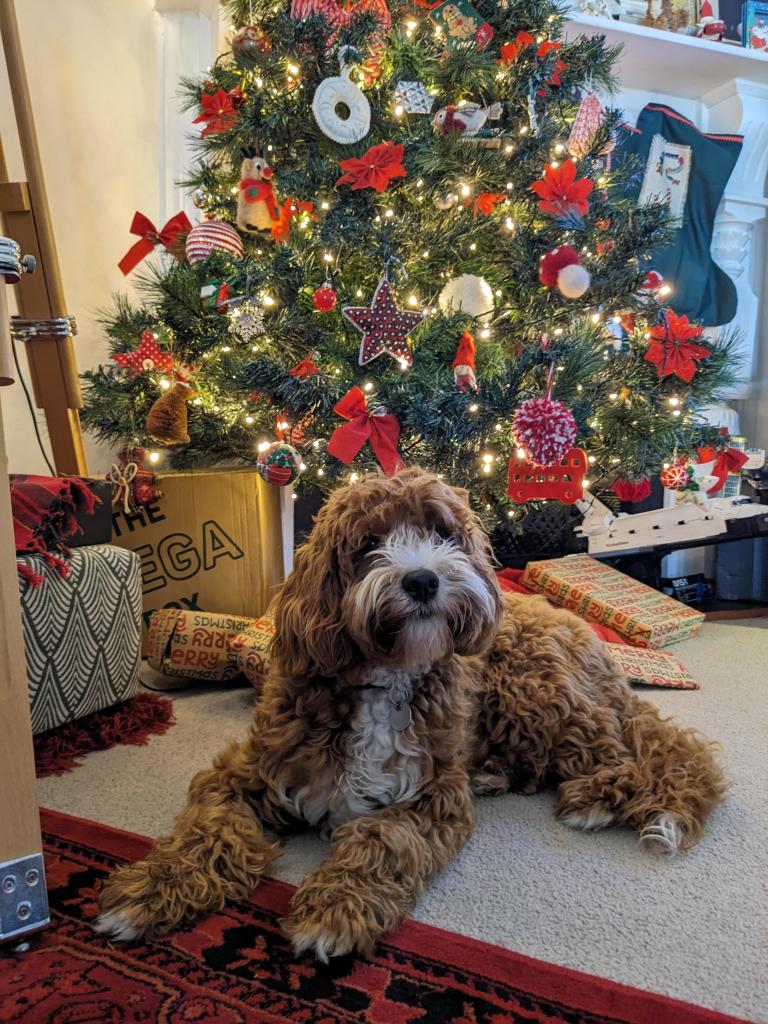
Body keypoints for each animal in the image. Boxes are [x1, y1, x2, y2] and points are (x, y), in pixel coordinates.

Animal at [97, 468, 729, 958]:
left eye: (442, 533)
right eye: (369, 541)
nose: (423, 579)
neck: (384, 678)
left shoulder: (430, 795)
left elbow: (383, 838)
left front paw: (335, 909)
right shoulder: (241, 775)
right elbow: (205, 831)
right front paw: (149, 892)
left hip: (535, 688)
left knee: (620, 754)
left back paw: (594, 798)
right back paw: (495, 775)